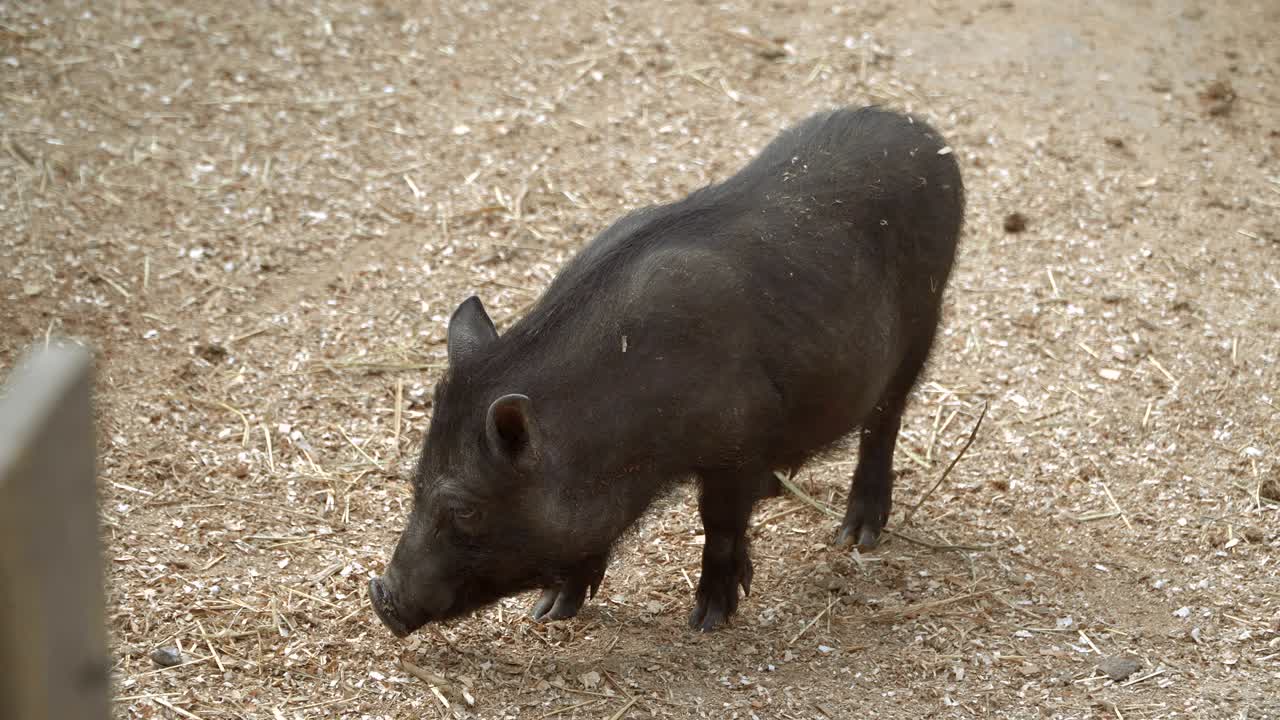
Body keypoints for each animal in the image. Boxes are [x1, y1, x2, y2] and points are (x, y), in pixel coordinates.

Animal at [369, 105, 964, 636]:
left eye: (463, 508)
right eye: (414, 482)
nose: (382, 599)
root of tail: (925, 133)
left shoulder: (736, 443)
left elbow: (718, 524)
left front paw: (707, 621)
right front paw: (548, 612)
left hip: (924, 322)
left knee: (884, 421)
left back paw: (856, 536)